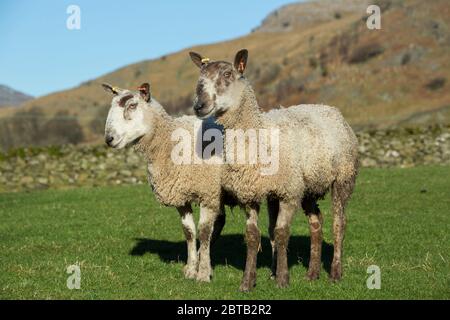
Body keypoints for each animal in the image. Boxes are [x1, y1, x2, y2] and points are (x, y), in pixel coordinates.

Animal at [101, 82, 236, 282]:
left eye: (132, 105)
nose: (109, 139)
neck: (171, 142)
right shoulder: (181, 197)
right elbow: (189, 232)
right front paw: (191, 268)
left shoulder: (207, 193)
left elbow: (204, 232)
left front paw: (203, 274)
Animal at [190, 49, 358, 290]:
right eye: (200, 77)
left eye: (228, 74)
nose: (199, 105)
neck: (259, 134)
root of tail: (331, 109)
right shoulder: (250, 194)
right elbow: (252, 235)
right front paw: (248, 281)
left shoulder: (288, 192)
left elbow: (280, 233)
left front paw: (282, 278)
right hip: (308, 186)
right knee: (316, 222)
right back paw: (312, 273)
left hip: (343, 177)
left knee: (339, 223)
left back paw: (335, 272)